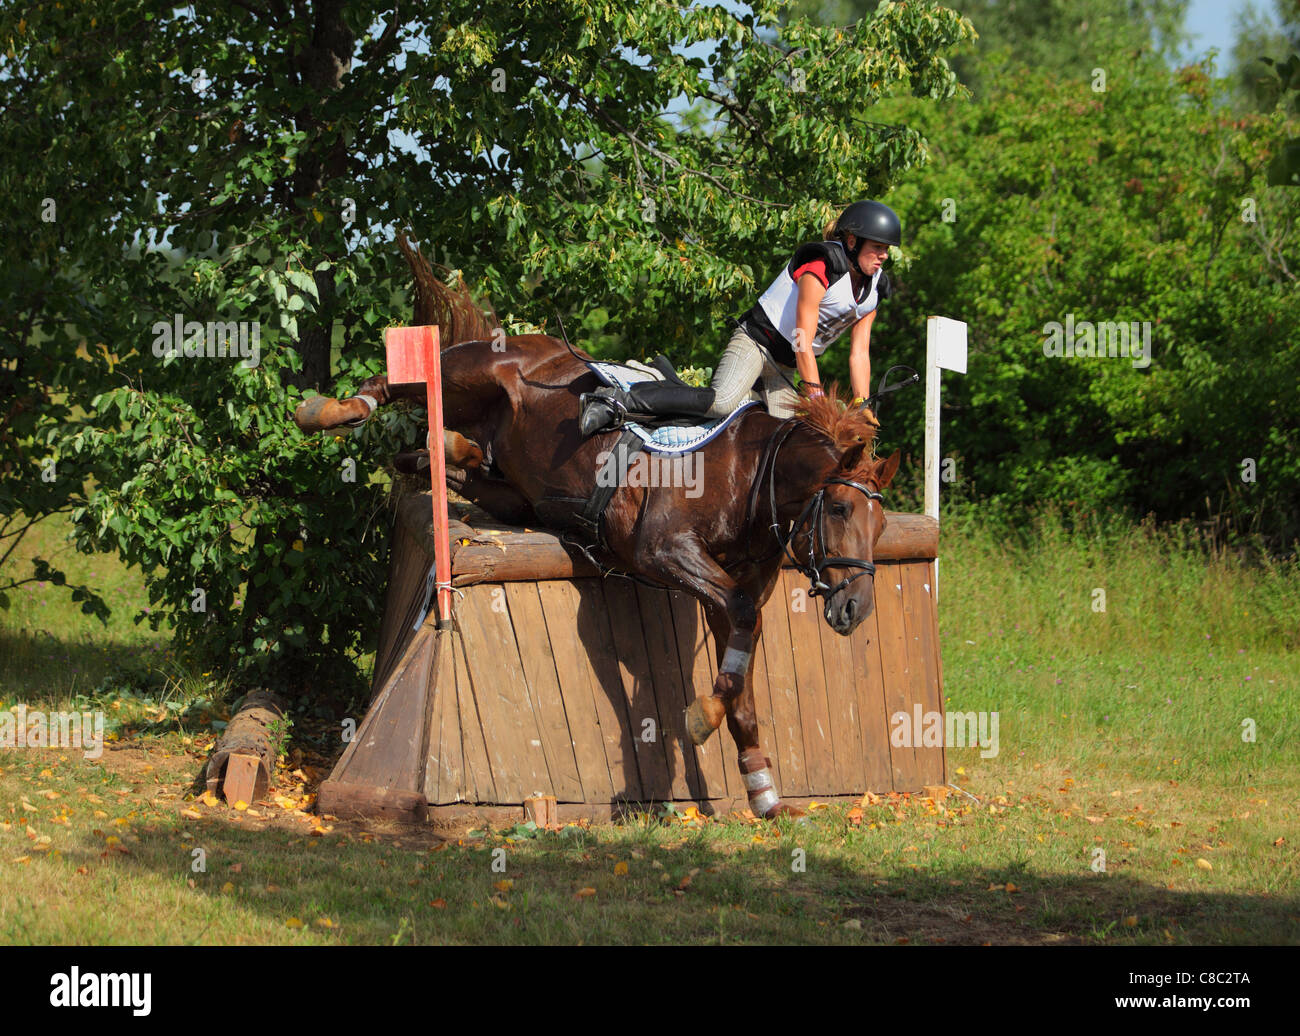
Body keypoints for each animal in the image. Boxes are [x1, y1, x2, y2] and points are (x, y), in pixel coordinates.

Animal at [294, 237, 900, 819]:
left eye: (881, 525)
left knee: (435, 456)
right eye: (840, 510)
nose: (856, 609)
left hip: (516, 489)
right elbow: (736, 640)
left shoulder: (727, 589)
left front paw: (761, 788)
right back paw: (331, 411)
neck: (755, 475)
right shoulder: (664, 550)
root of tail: (524, 341)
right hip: (471, 374)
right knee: (409, 377)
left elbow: (742, 669)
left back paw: (448, 446)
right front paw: (703, 717)